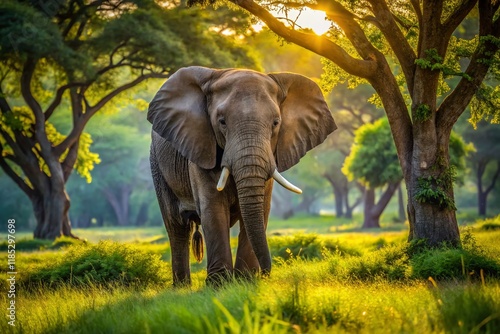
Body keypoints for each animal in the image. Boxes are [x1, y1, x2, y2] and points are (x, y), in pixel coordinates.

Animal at [148, 66, 336, 286]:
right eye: (221, 122)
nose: (266, 273)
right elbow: (213, 208)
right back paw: (181, 287)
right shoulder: (201, 147)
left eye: (276, 123)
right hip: (157, 166)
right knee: (176, 227)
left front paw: (245, 280)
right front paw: (219, 285)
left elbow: (261, 208)